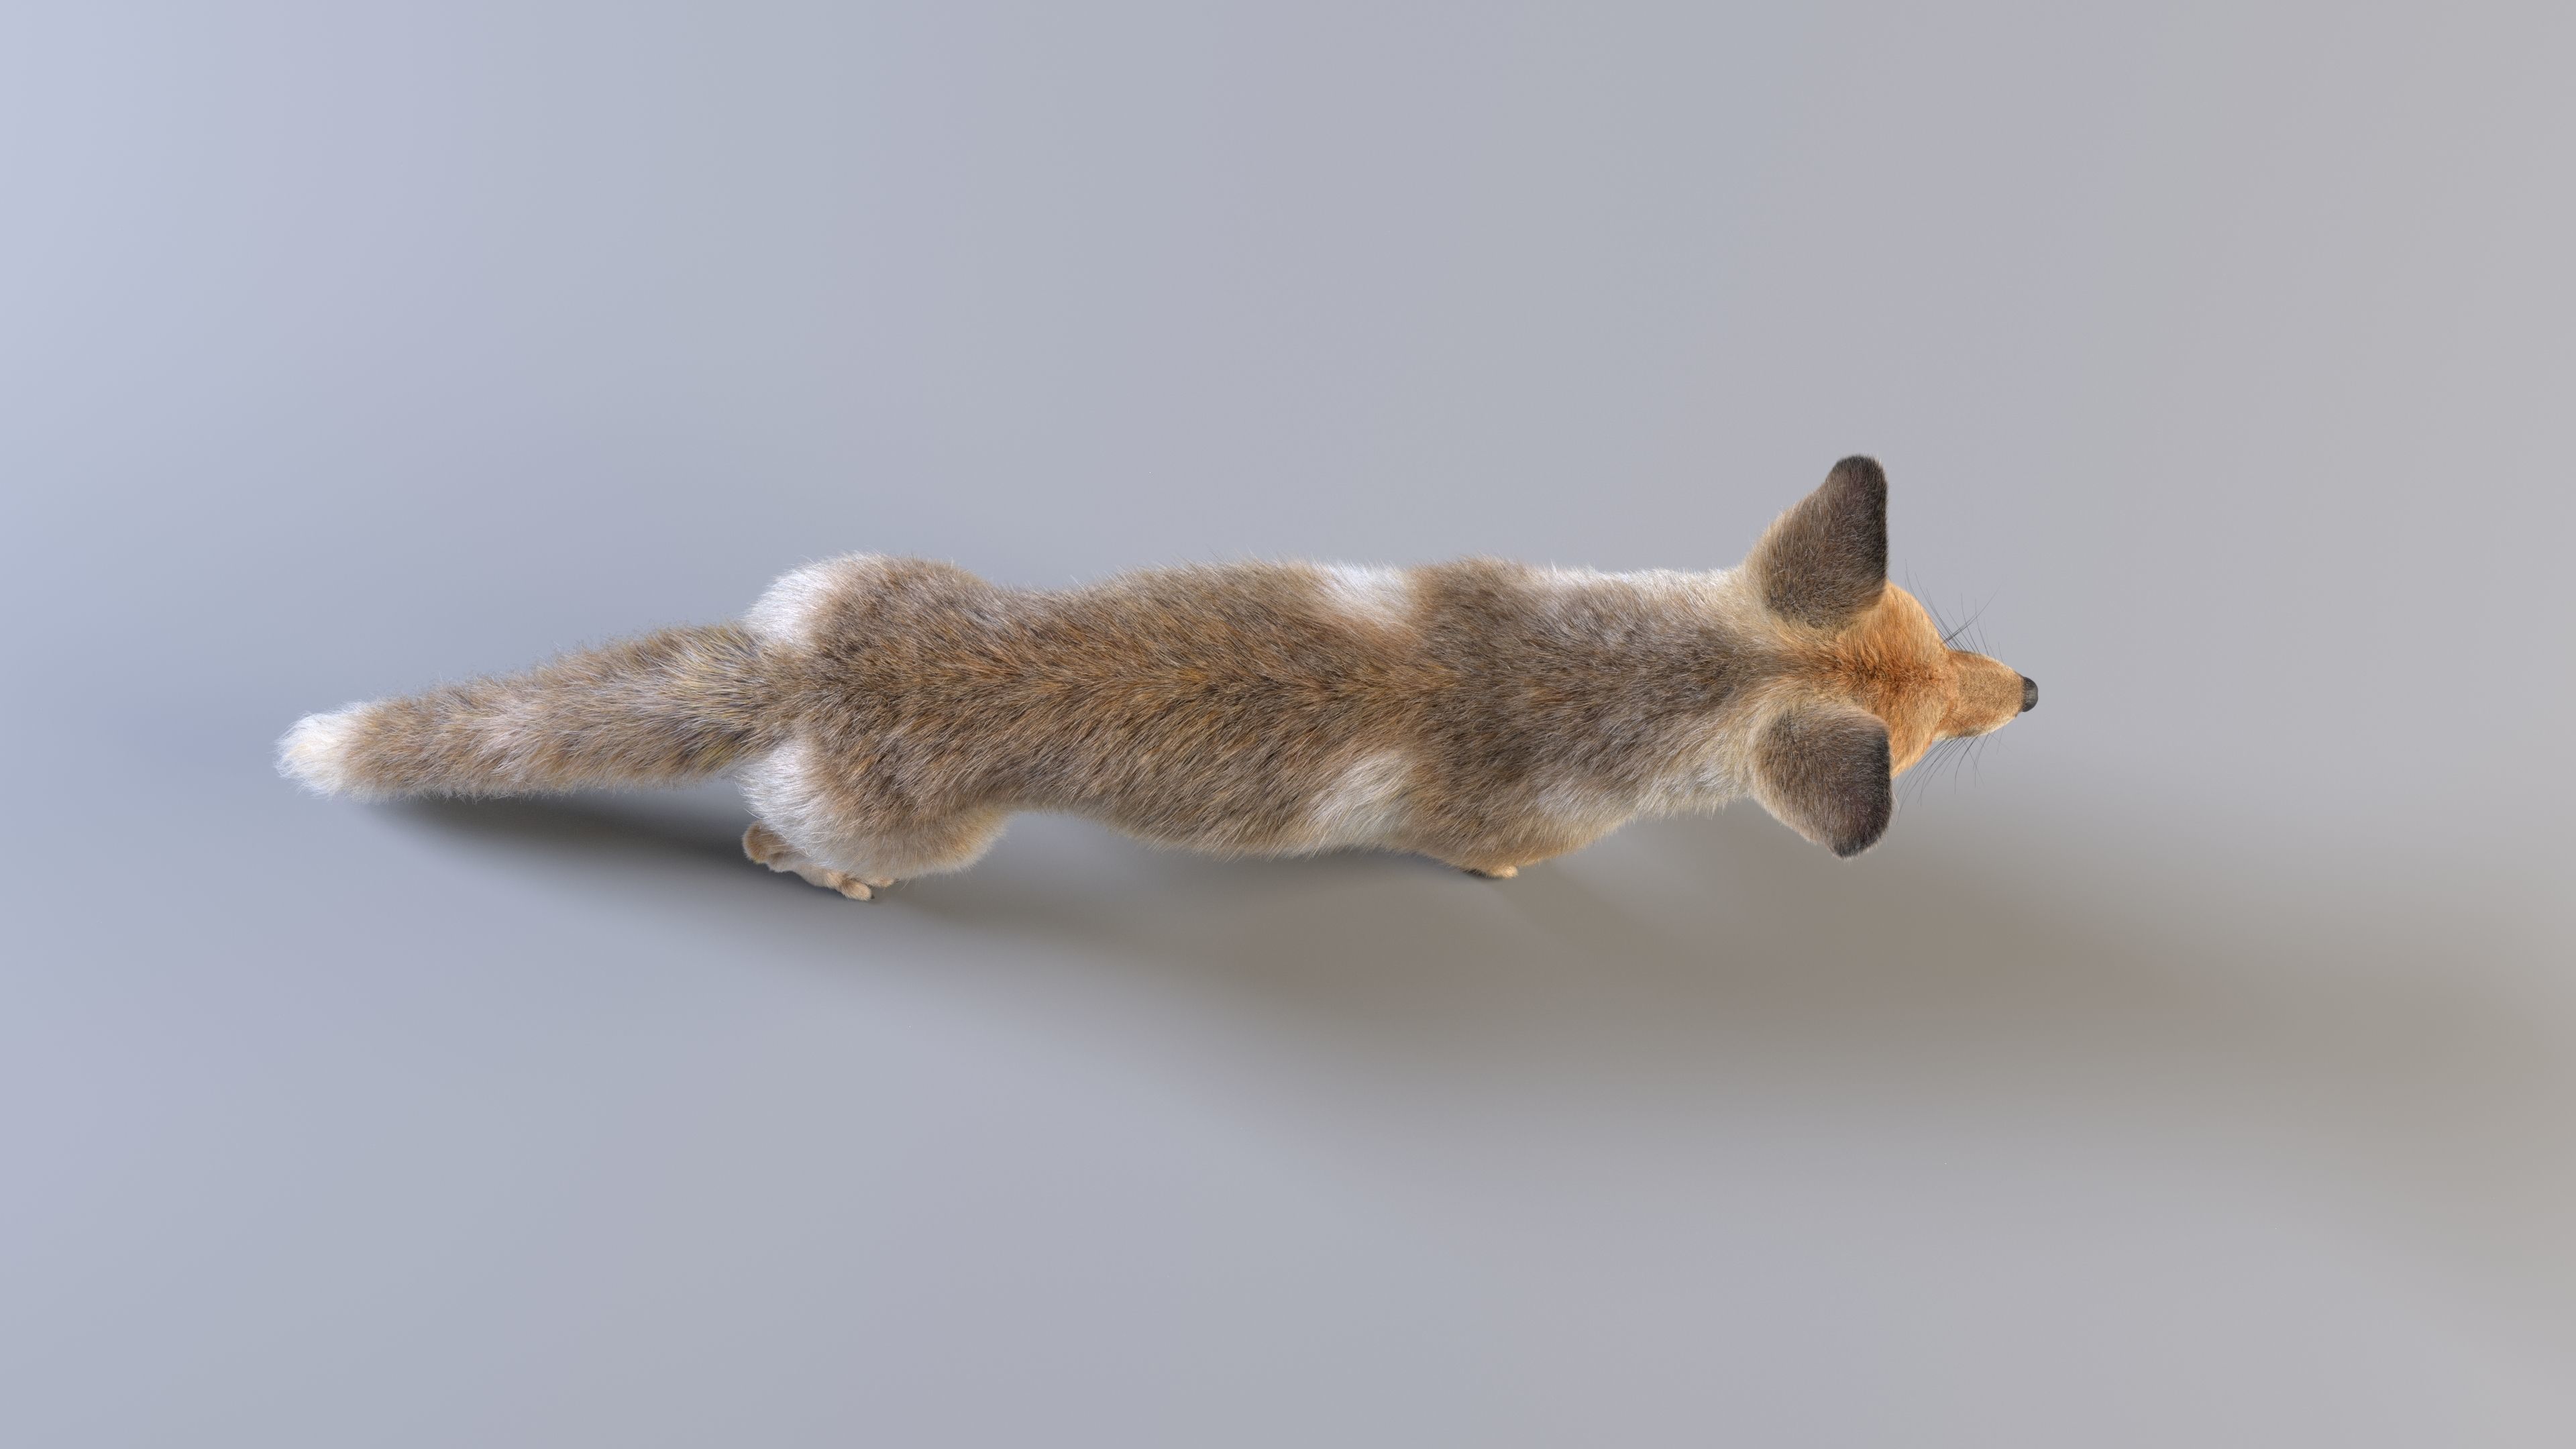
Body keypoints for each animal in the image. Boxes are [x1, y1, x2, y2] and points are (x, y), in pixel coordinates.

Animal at [278, 457, 2033, 897]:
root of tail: (799, 668)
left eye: (1948, 646)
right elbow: (1500, 860)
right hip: (914, 838)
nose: (2032, 691)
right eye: (1936, 724)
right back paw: (801, 868)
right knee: (801, 850)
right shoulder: (1526, 824)